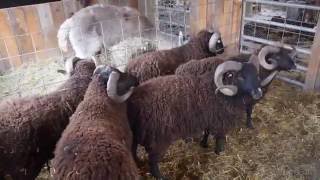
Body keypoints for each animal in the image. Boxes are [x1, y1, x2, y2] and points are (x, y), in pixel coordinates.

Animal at [127, 59, 262, 178]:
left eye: (256, 75)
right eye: (241, 77)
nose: (258, 93)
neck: (222, 91)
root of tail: (134, 100)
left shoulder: (208, 118)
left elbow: (207, 132)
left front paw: (204, 144)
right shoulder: (220, 121)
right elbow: (220, 138)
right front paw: (219, 152)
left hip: (136, 132)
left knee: (132, 149)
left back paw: (137, 162)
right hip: (157, 137)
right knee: (153, 161)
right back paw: (160, 176)